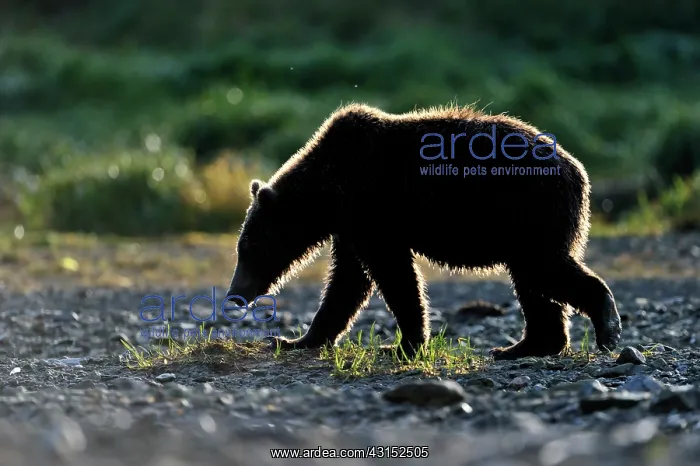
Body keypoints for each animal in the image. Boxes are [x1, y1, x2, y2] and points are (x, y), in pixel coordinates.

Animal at [225, 103, 622, 360]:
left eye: (249, 248)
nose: (234, 295)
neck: (327, 191)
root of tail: (579, 171)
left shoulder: (372, 208)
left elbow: (393, 275)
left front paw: (403, 344)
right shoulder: (351, 226)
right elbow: (347, 283)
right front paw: (297, 339)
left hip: (530, 210)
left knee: (542, 269)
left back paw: (606, 324)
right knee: (533, 283)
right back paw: (522, 346)